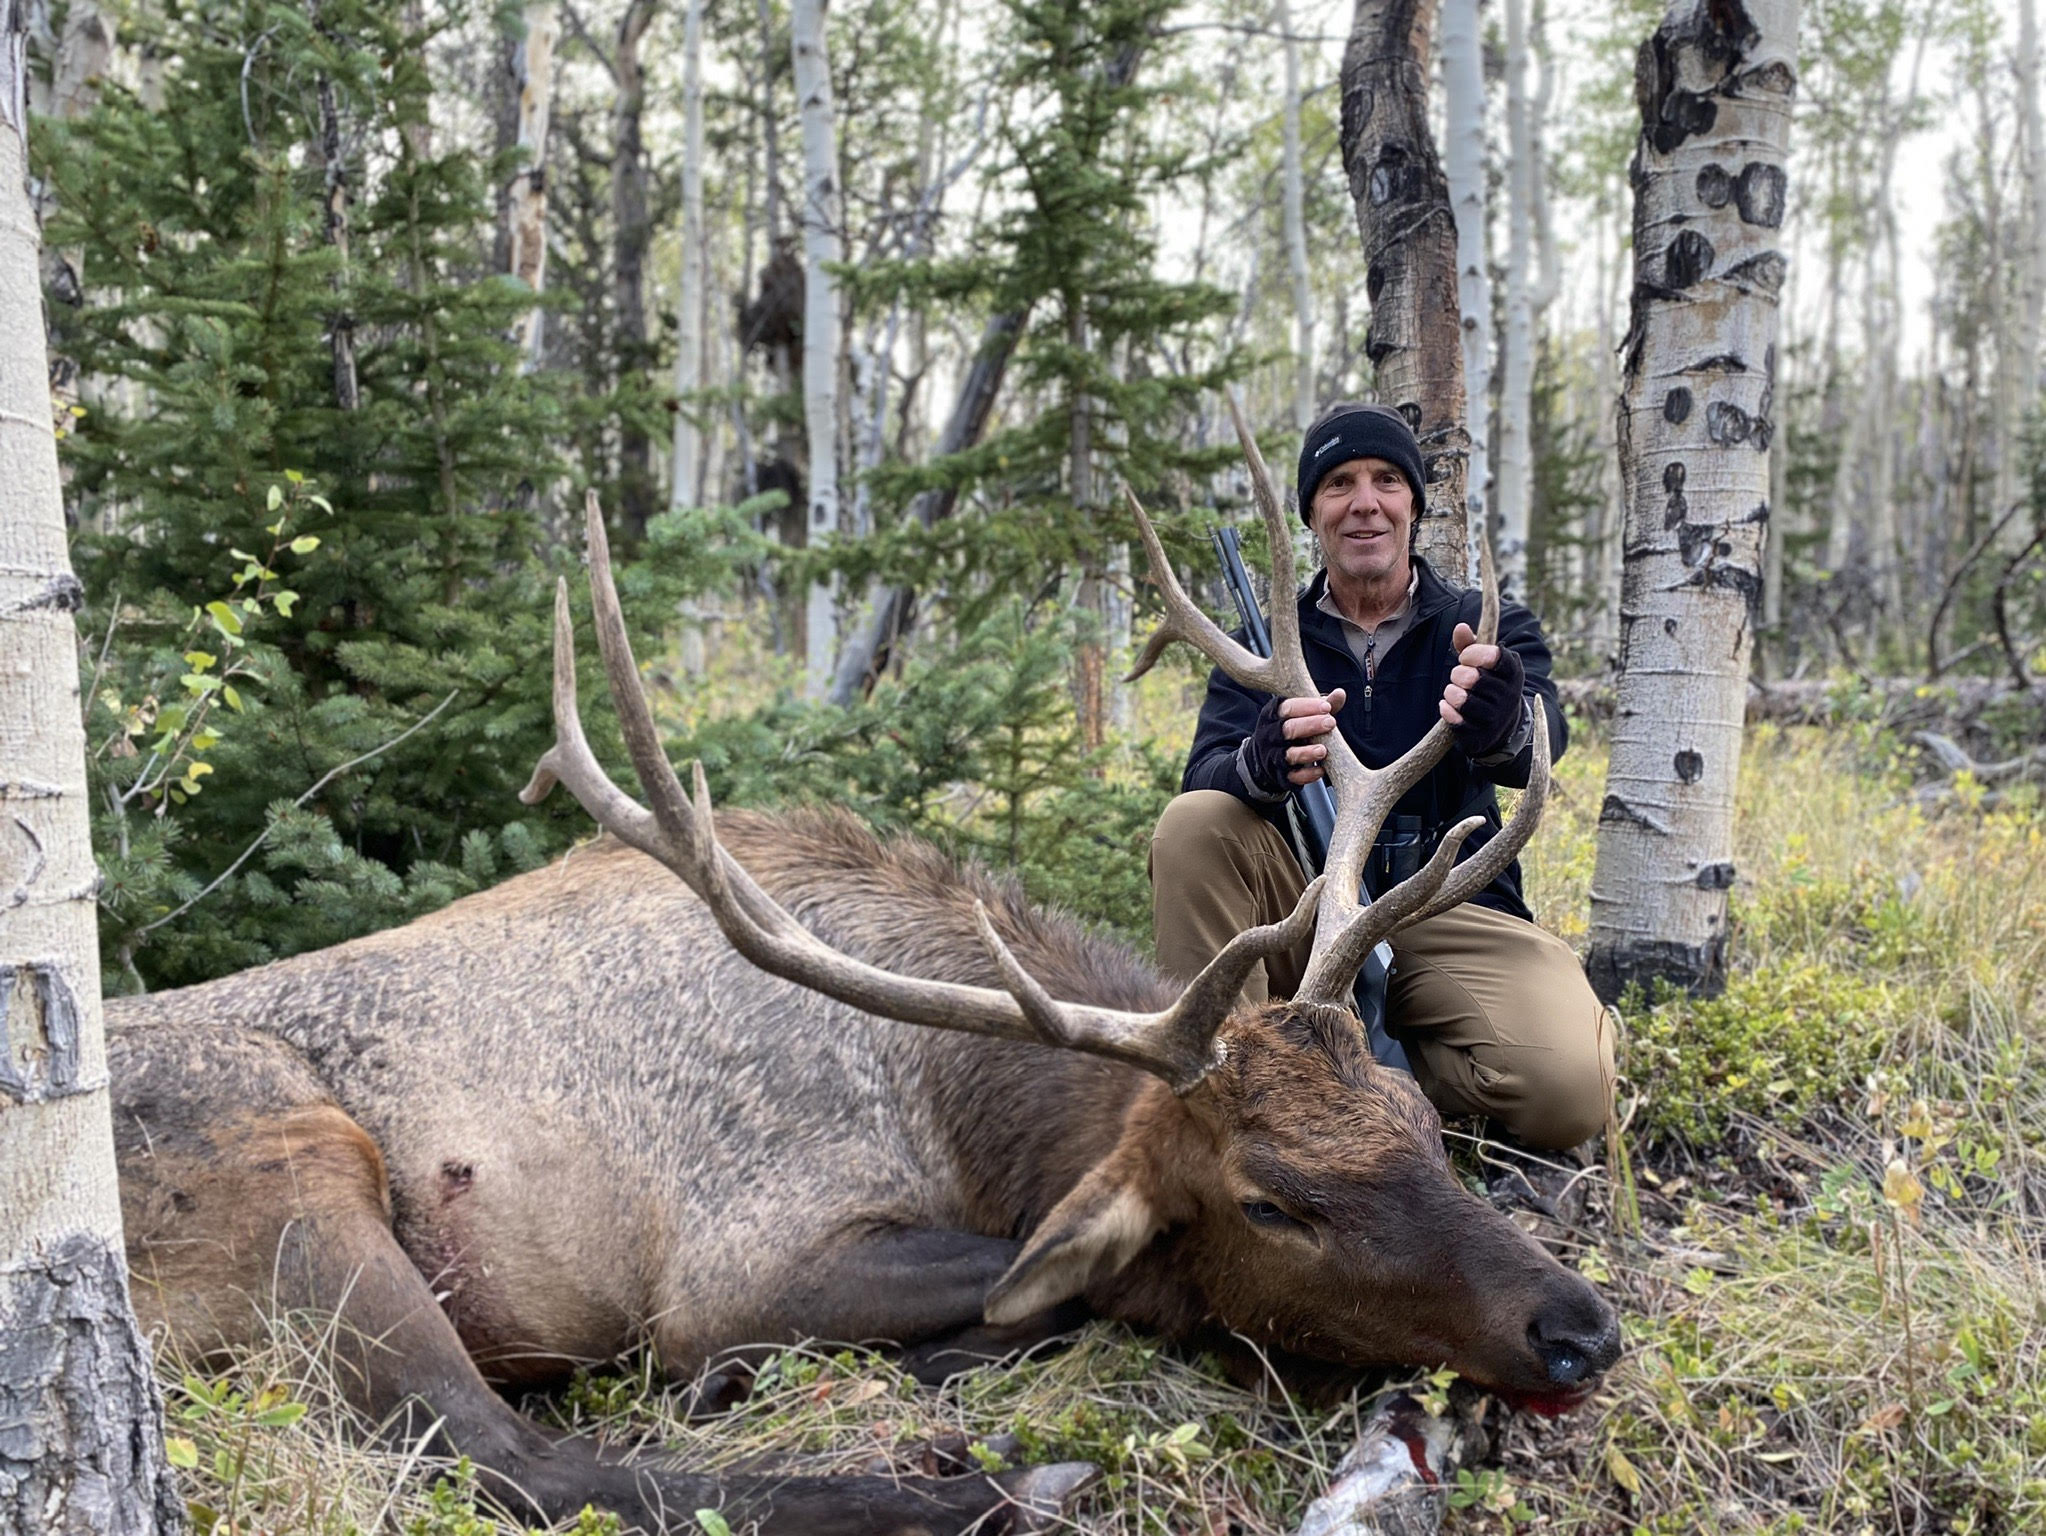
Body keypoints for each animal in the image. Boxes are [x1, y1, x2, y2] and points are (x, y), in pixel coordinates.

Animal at [107, 402, 1612, 1529]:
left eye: (1416, 1122)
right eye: (1271, 1201)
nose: (1577, 1331)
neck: (968, 1111)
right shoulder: (735, 1265)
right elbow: (1039, 1291)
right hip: (291, 1155)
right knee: (507, 1459)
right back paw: (995, 1490)